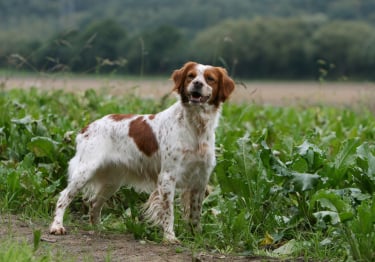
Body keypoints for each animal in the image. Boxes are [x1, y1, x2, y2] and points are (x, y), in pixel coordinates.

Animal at [49, 61, 235, 244]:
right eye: (191, 76)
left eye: (210, 79)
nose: (197, 84)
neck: (196, 127)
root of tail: (86, 128)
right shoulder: (168, 176)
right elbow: (169, 211)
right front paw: (170, 237)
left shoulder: (200, 179)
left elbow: (195, 214)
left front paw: (196, 237)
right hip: (86, 170)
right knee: (63, 197)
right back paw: (57, 226)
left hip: (112, 180)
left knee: (94, 203)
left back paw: (98, 228)